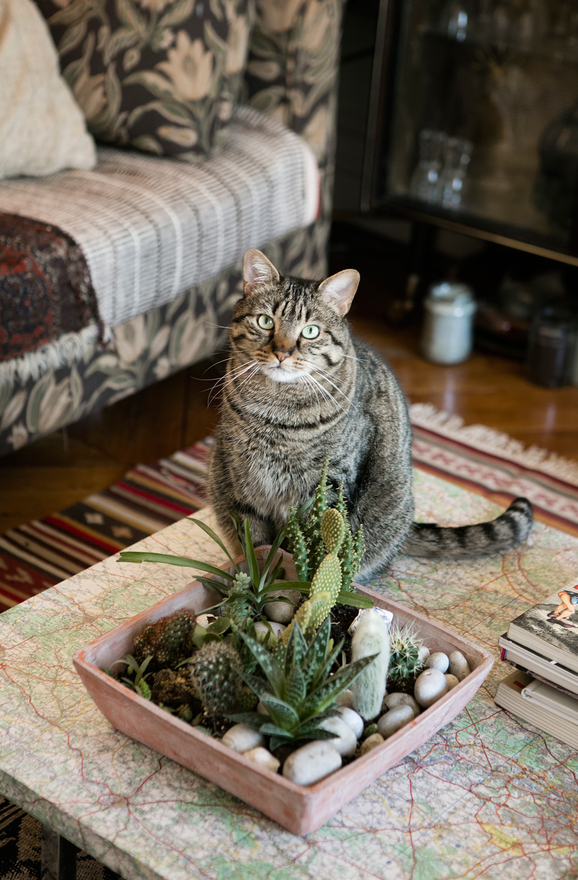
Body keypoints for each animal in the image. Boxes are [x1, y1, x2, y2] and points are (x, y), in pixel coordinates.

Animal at [207, 249, 532, 576]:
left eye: (310, 331)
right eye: (265, 321)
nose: (282, 353)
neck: (276, 408)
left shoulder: (326, 484)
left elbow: (308, 541)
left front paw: (300, 576)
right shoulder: (242, 481)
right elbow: (255, 542)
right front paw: (259, 572)